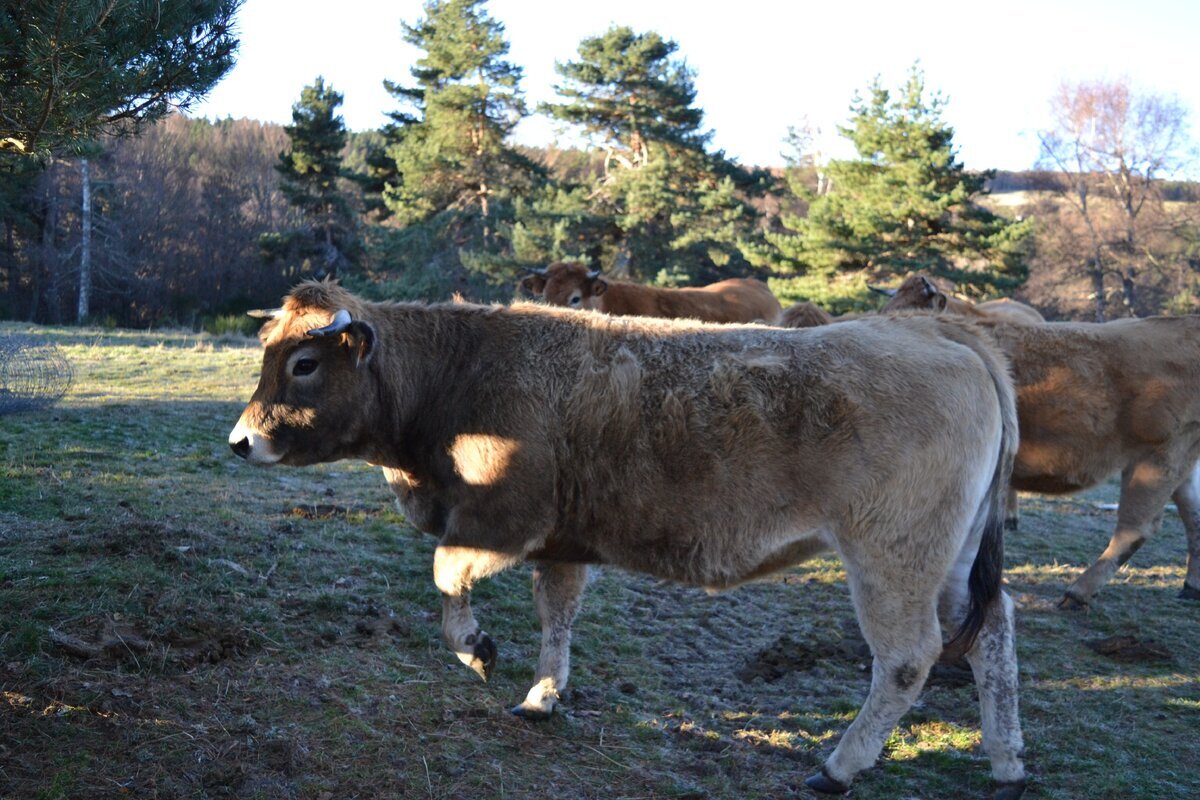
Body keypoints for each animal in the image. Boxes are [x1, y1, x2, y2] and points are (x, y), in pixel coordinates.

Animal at [229, 280, 1027, 796]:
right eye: (269, 354)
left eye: (304, 363)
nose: (239, 442)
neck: (464, 371)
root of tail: (941, 334)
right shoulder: (559, 542)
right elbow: (557, 615)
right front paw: (541, 695)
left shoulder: (503, 521)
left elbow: (446, 575)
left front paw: (477, 648)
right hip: (949, 563)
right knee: (991, 631)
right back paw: (1007, 763)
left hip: (893, 560)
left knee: (908, 659)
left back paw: (839, 767)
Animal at [883, 273, 1200, 606]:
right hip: (1180, 461)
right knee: (1193, 514)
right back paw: (1191, 585)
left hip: (1159, 456)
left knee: (1136, 528)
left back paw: (1078, 592)